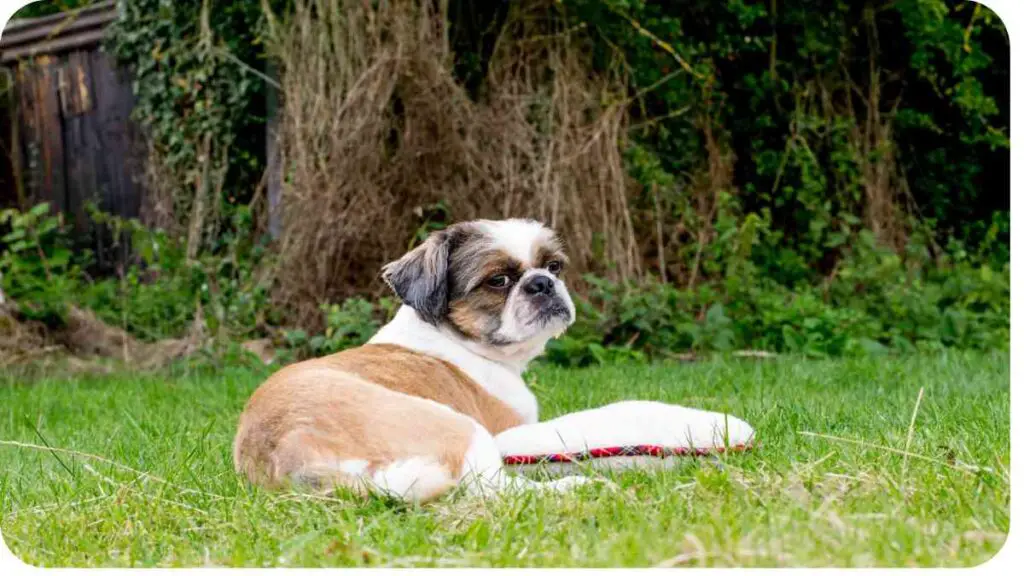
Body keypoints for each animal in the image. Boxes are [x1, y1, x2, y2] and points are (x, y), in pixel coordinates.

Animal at [230, 217, 585, 500]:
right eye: (498, 281)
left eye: (554, 267)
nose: (542, 282)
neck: (459, 340)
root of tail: (291, 452)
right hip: (459, 426)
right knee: (494, 488)